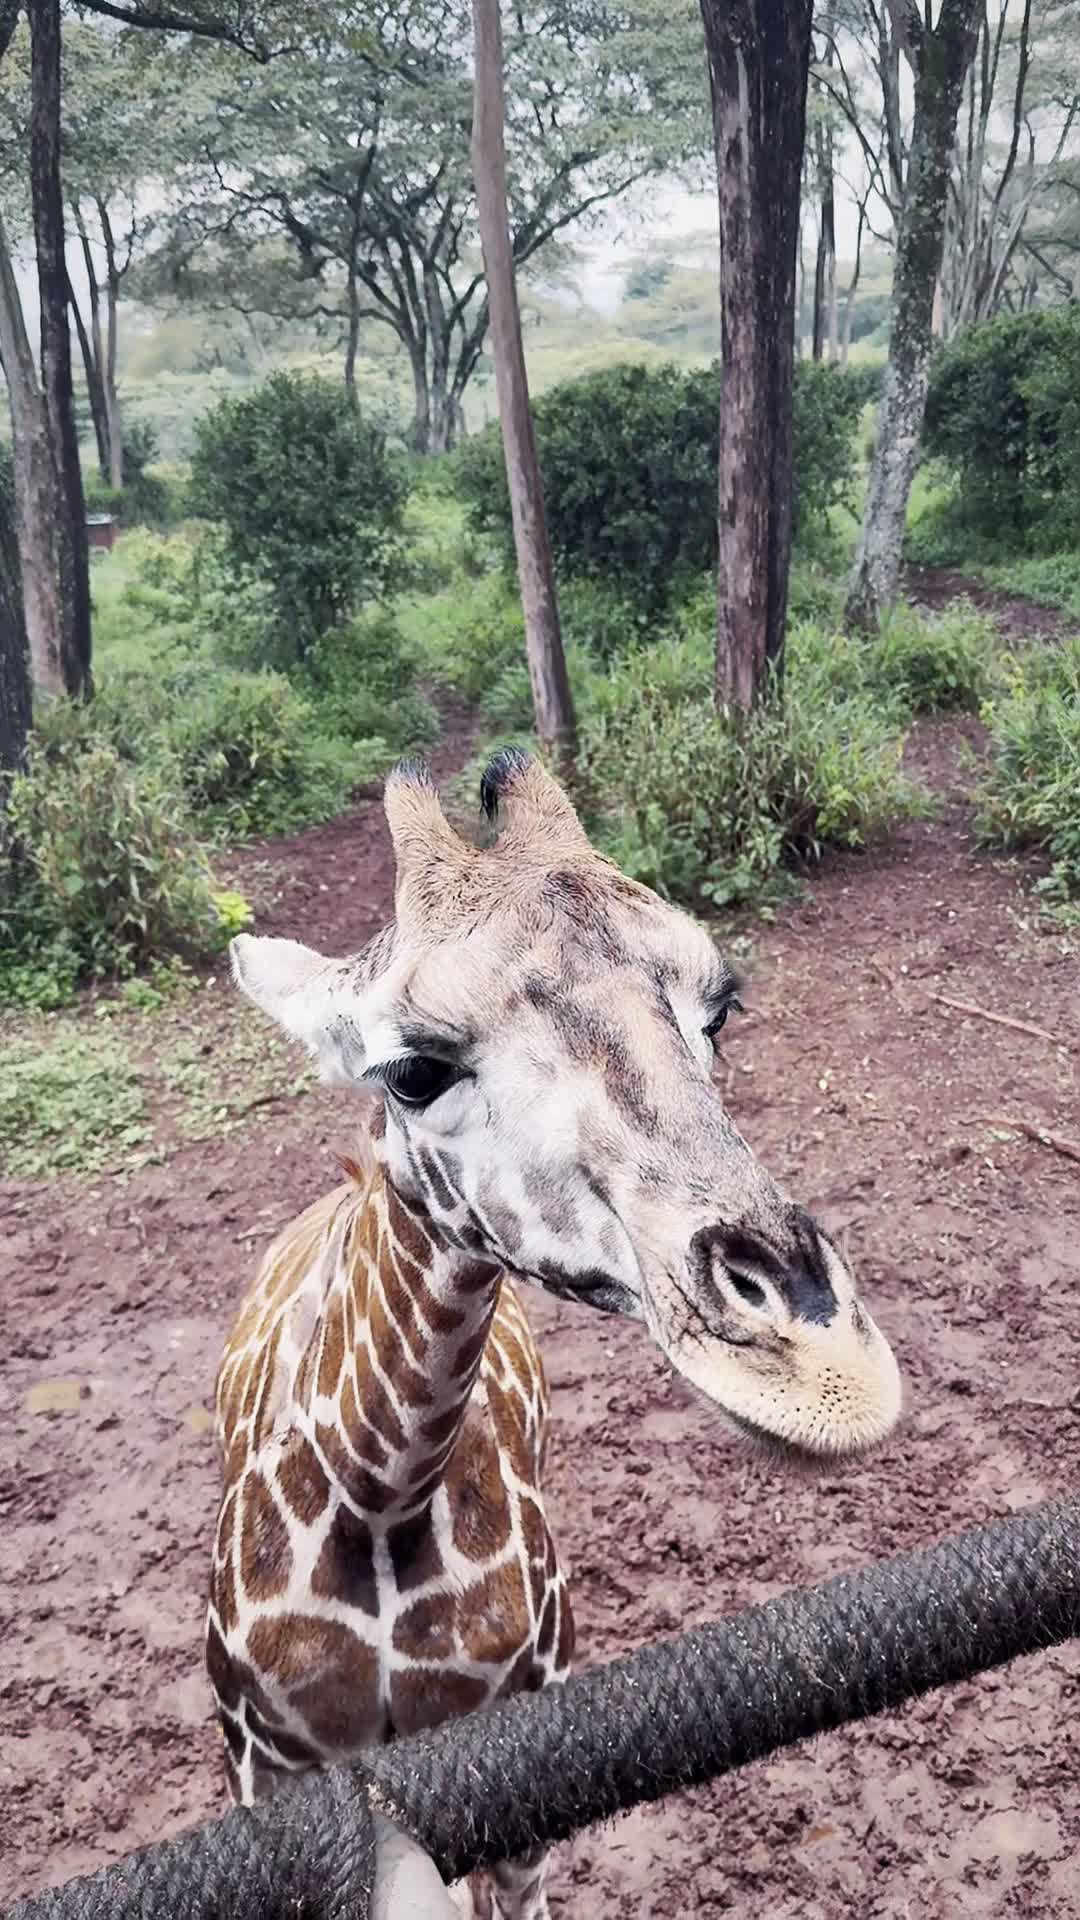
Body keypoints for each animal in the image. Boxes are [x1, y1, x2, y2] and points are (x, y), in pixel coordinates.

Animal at [208, 747, 902, 1919]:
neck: (381, 1500)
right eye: (412, 1069)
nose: (825, 1368)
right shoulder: (267, 1773)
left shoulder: (524, 1763)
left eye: (718, 1010)